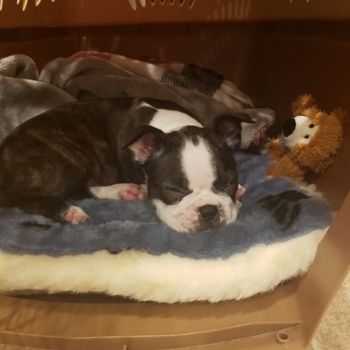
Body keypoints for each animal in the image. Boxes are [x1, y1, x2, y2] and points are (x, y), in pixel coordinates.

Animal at [0, 97, 250, 232]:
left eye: (228, 183)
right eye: (173, 190)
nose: (208, 211)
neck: (173, 126)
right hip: (72, 155)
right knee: (23, 197)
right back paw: (70, 210)